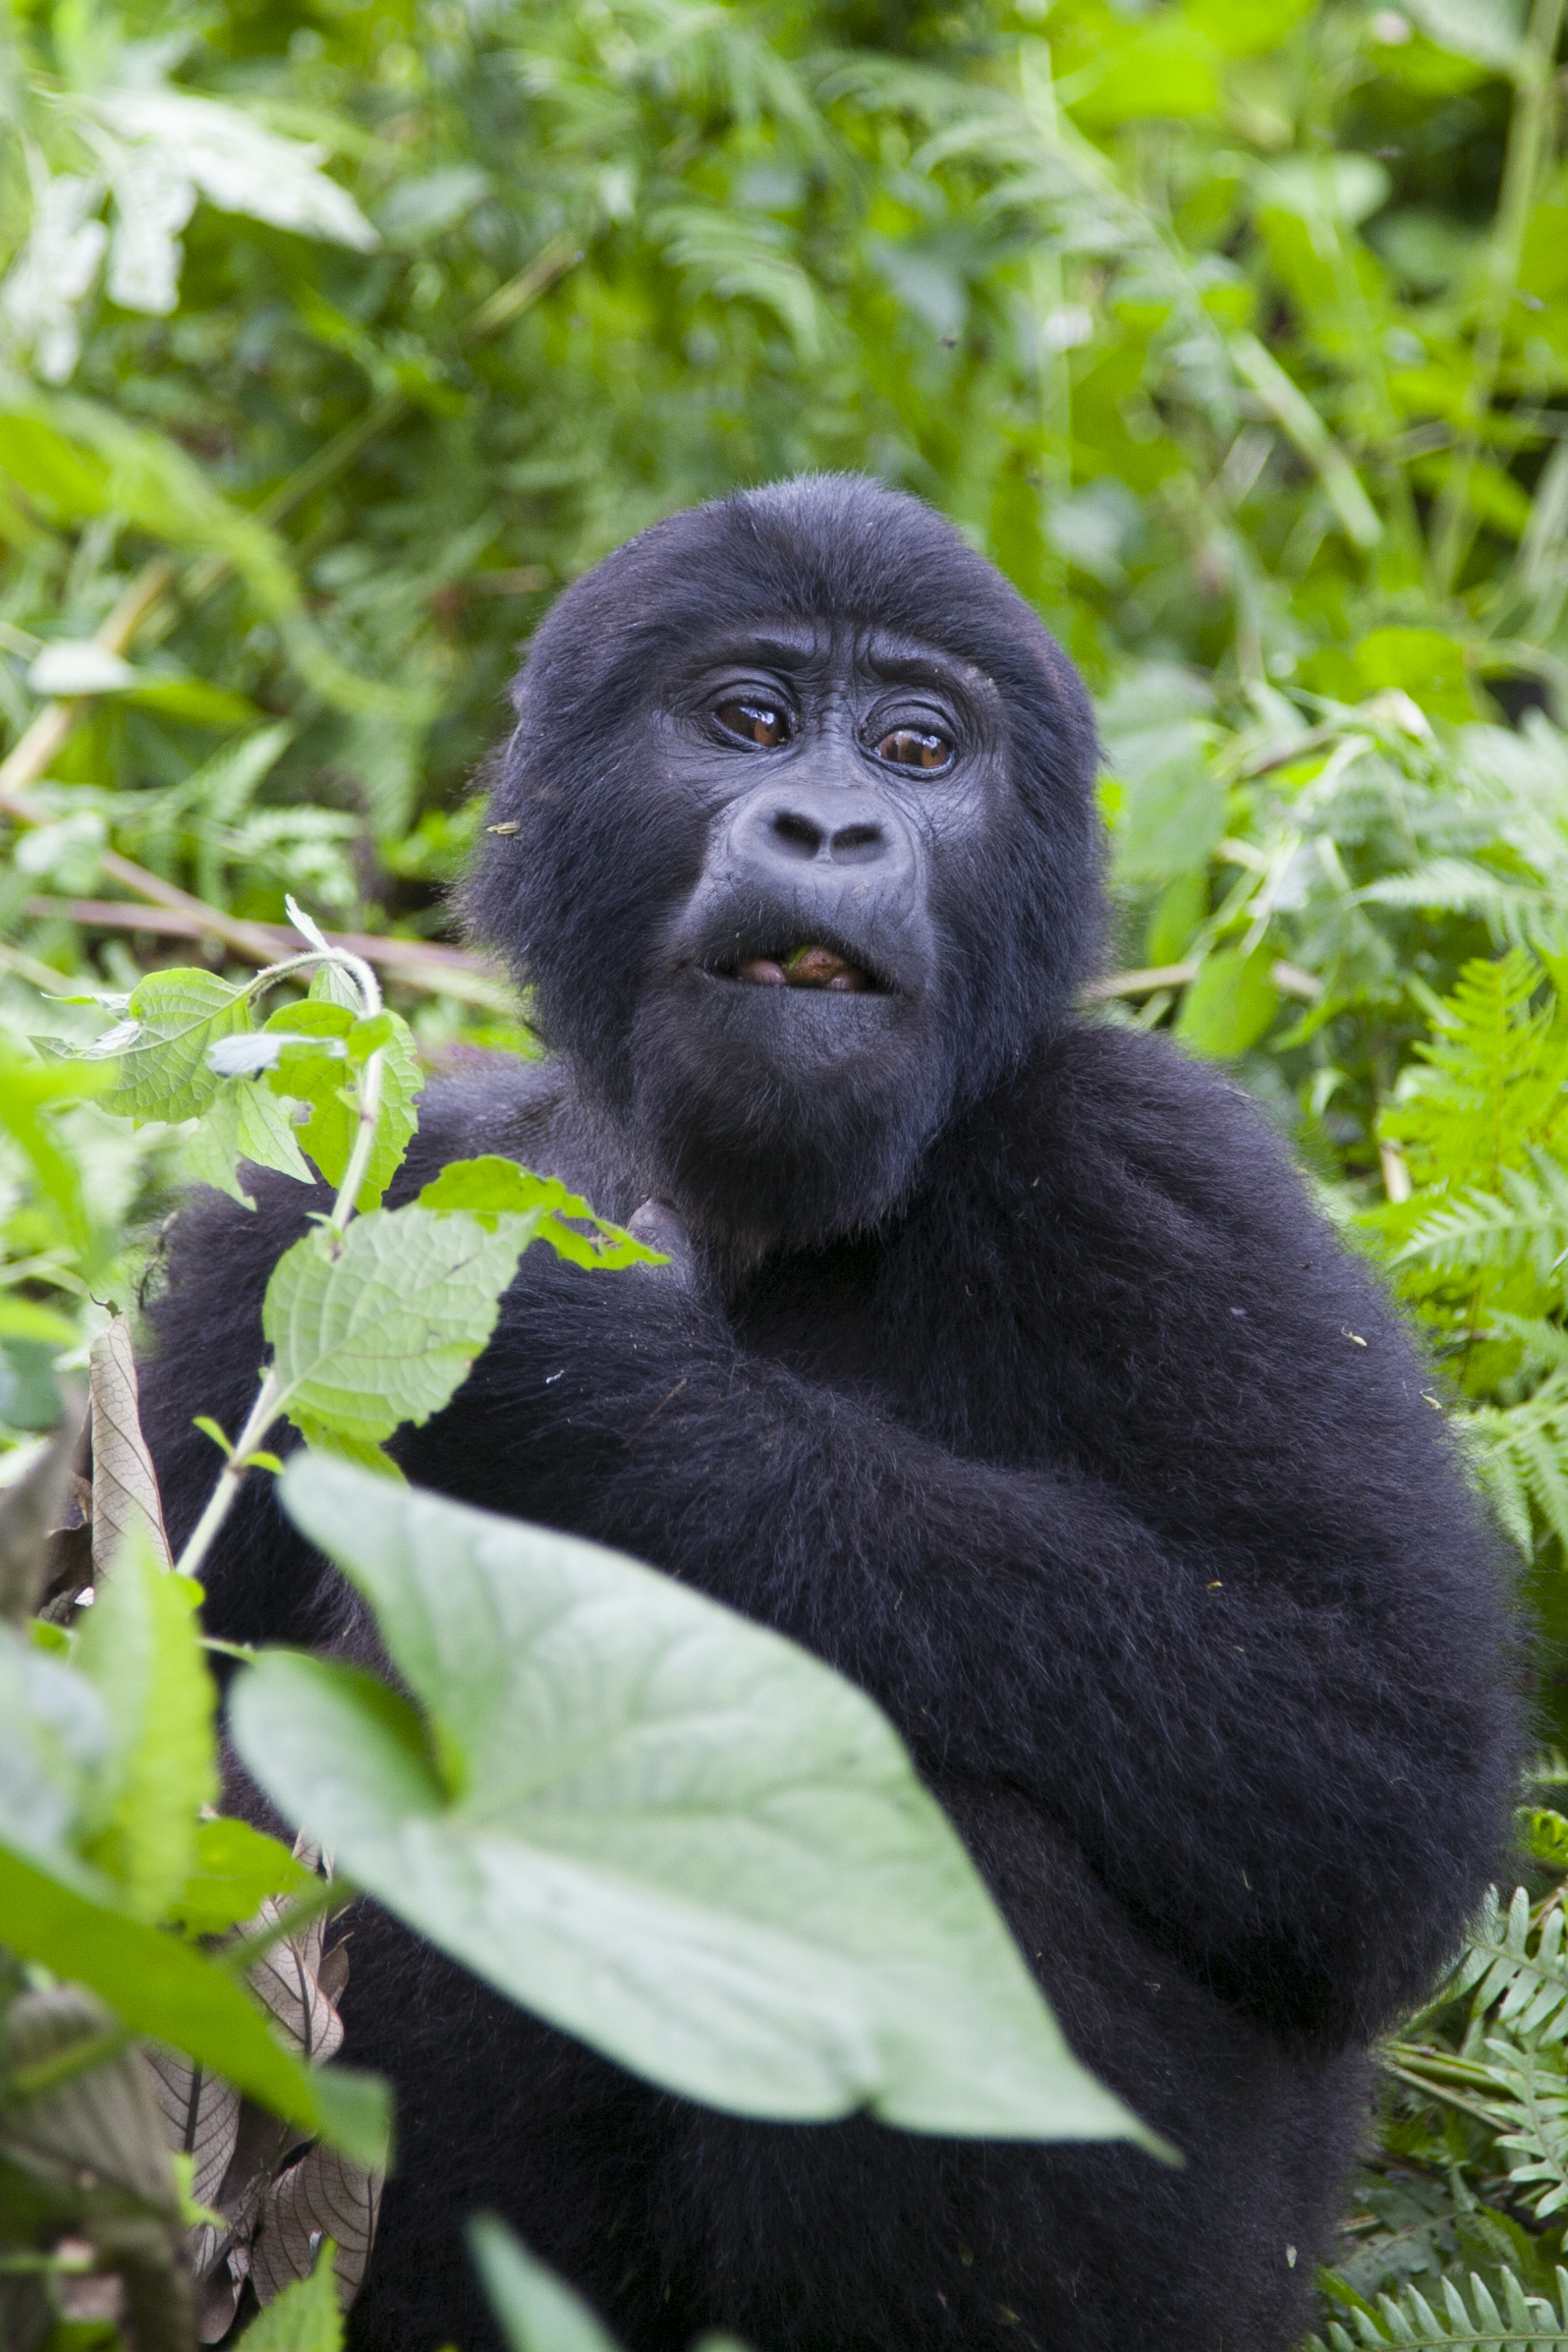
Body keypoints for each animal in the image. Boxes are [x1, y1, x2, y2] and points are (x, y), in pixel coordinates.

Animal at [140, 473, 1513, 2352]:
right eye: (752, 720)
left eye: (921, 748)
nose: (833, 828)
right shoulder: (263, 1249)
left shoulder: (1154, 1160)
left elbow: (1372, 1759)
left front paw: (581, 1386)